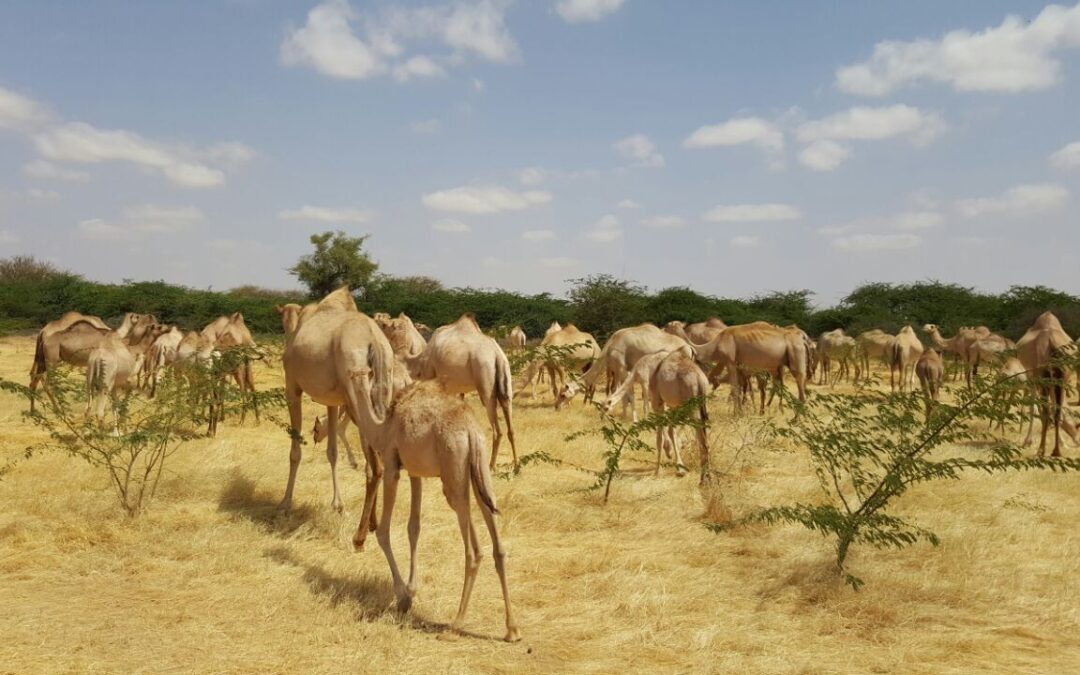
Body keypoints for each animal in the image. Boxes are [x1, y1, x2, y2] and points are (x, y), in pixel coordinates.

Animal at [276, 287, 399, 514]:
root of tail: (374, 340)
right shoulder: (332, 400)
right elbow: (332, 451)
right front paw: (337, 504)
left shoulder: (292, 388)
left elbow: (295, 451)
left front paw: (285, 502)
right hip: (383, 383)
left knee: (376, 466)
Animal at [343, 373, 516, 643]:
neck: (383, 428)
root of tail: (471, 432)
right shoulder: (415, 472)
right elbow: (414, 527)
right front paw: (411, 591)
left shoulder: (392, 463)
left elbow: (383, 532)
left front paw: (403, 598)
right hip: (479, 473)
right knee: (496, 543)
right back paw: (512, 630)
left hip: (453, 473)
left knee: (473, 550)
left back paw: (455, 626)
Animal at [557, 321, 691, 416]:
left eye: (562, 395)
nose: (556, 406)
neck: (610, 348)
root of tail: (689, 348)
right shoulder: (618, 370)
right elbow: (621, 393)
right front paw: (623, 415)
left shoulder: (622, 369)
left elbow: (629, 394)